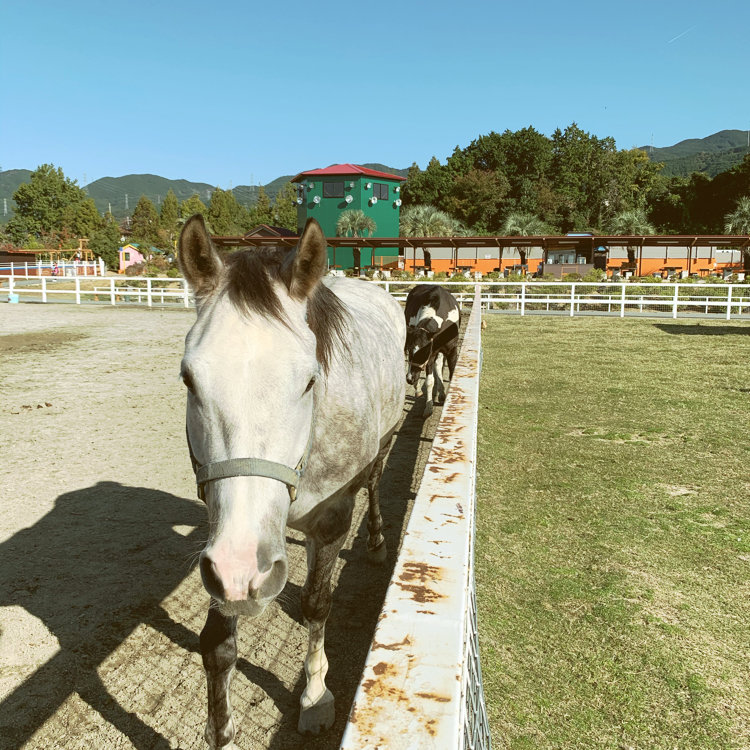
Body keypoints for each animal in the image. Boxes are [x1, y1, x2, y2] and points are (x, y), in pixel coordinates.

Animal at [178, 214, 406, 748]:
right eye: (188, 380)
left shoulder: (332, 518)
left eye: (309, 380)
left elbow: (318, 604)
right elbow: (217, 643)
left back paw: (377, 541)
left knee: (375, 485)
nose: (245, 572)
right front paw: (221, 729)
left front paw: (315, 696)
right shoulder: (226, 534)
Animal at [406, 286, 464, 420]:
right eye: (409, 350)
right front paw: (428, 408)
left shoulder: (451, 352)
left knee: (439, 365)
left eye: (424, 352)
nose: (410, 379)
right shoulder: (431, 357)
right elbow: (429, 381)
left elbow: (452, 375)